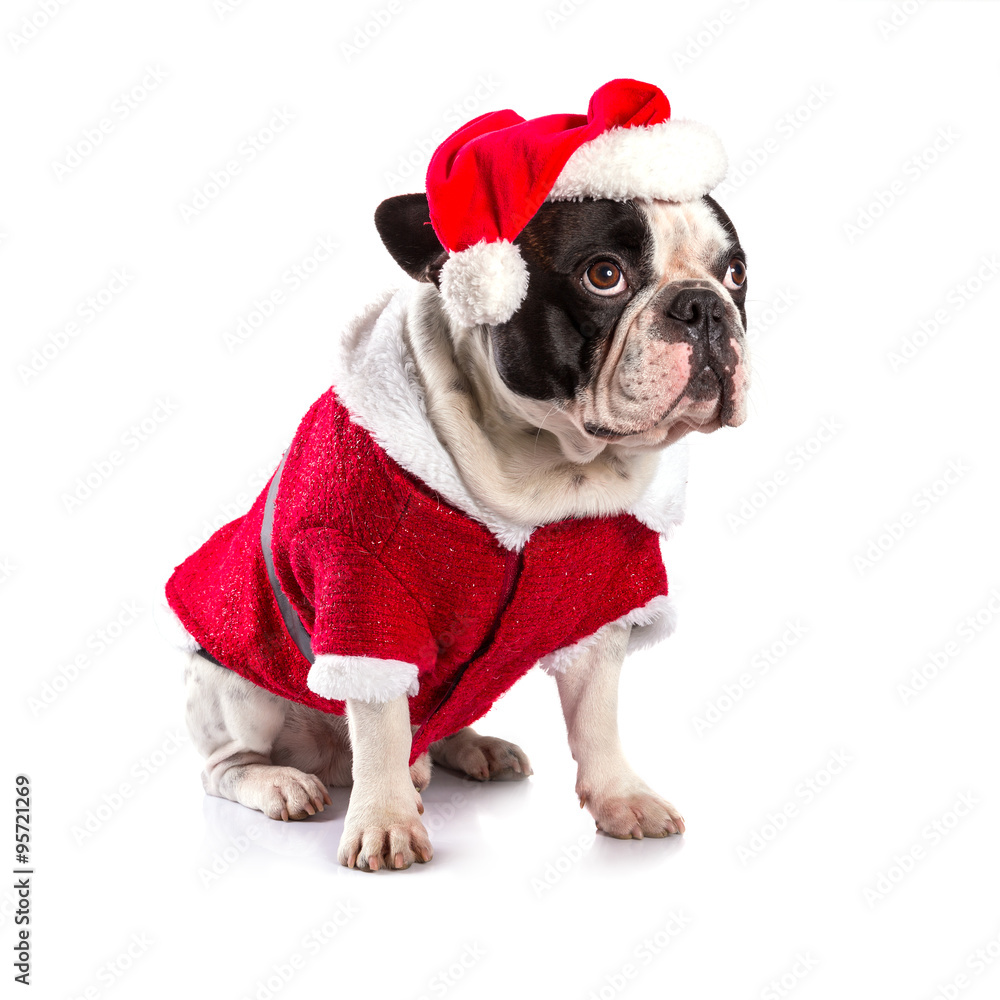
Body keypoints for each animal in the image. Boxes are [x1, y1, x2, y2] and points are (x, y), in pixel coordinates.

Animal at [164, 82, 748, 872]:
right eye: (604, 275)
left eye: (736, 274)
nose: (703, 306)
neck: (551, 470)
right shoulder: (364, 588)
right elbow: (379, 715)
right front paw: (383, 820)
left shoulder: (603, 602)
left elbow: (597, 716)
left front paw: (621, 796)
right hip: (232, 687)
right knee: (228, 763)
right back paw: (284, 781)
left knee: (434, 726)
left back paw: (470, 748)